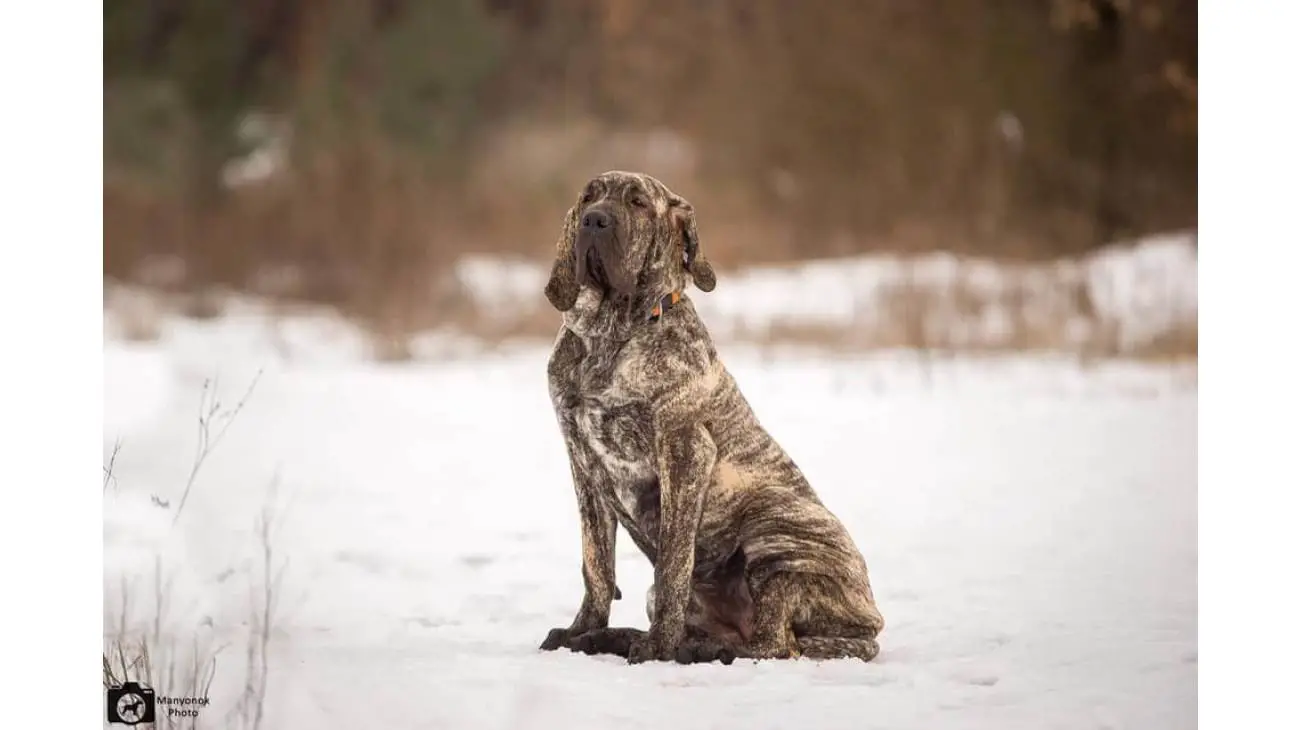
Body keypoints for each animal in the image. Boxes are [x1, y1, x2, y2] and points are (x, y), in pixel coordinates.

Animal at [538, 168, 883, 659]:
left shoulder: (686, 450)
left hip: (772, 527)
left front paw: (657, 647)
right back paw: (618, 637)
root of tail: (871, 622)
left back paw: (687, 649)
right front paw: (580, 629)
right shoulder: (582, 460)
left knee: (776, 645)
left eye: (638, 203)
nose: (594, 221)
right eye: (588, 197)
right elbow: (597, 564)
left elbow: (673, 564)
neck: (613, 330)